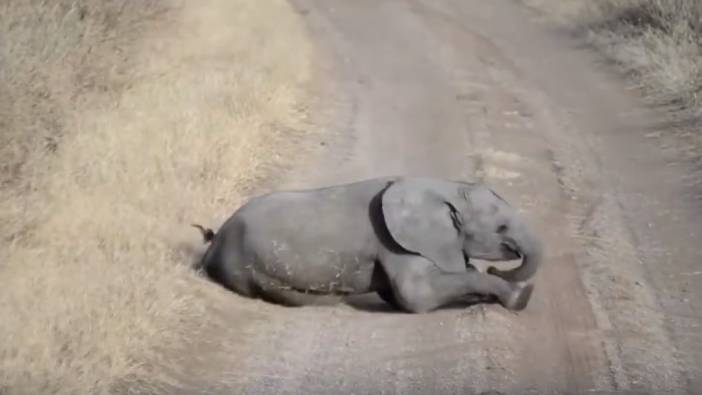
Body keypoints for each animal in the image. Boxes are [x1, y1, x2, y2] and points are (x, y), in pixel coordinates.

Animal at [192, 178, 544, 314]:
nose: (497, 267)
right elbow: (415, 295)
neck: (444, 188)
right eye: (501, 229)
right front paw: (519, 298)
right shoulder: (395, 242)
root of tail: (213, 243)